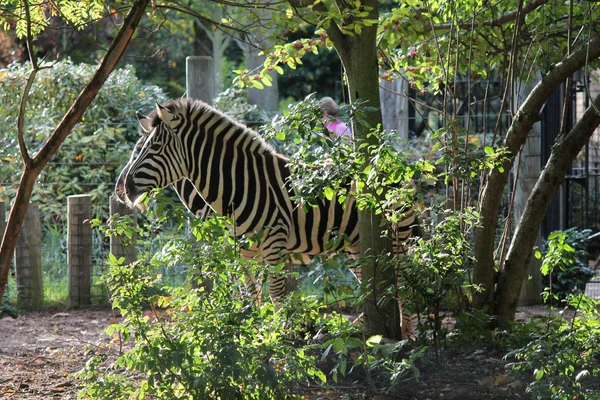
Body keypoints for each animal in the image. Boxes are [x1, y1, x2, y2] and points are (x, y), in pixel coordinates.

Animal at [115, 99, 414, 304]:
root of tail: (389, 165)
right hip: (357, 246)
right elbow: (250, 296)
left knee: (405, 289)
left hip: (398, 239)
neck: (235, 185)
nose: (123, 189)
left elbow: (276, 298)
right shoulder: (242, 252)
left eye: (150, 148)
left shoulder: (273, 246)